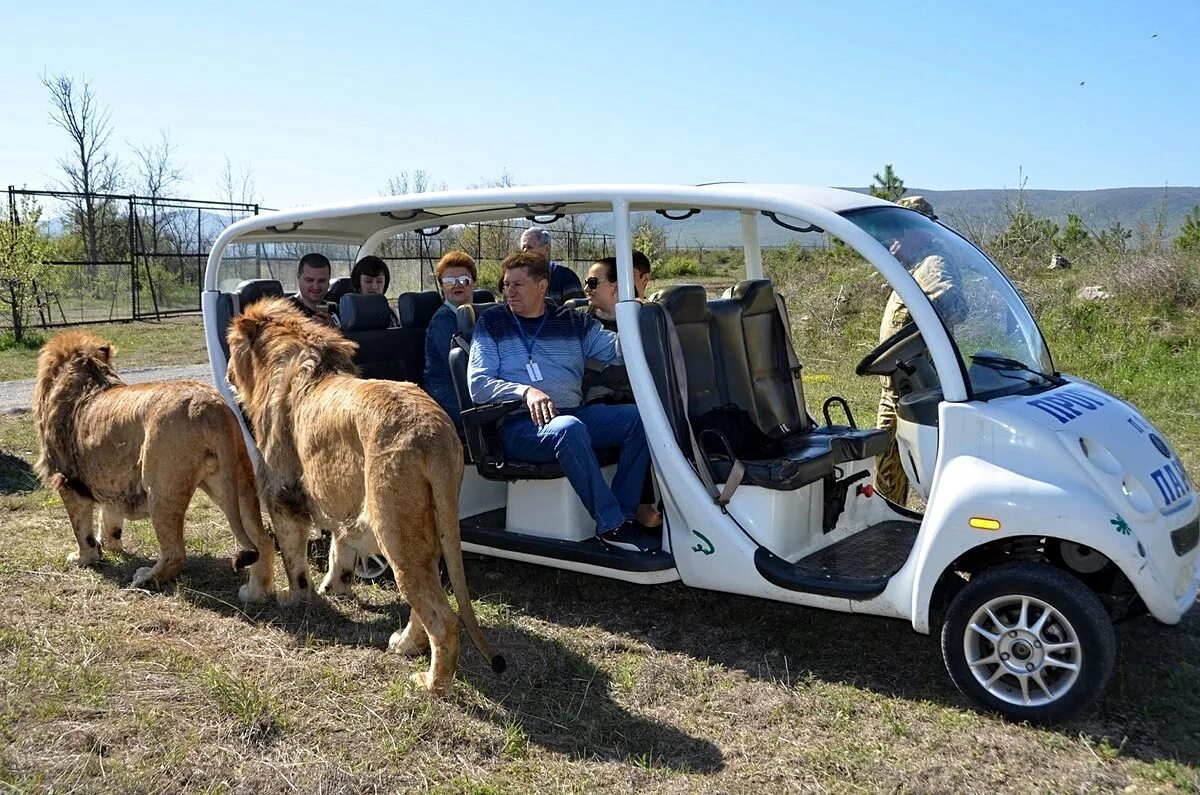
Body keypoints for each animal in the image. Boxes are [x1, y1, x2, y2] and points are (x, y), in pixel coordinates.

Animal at [36, 329, 274, 605]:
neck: (88, 374)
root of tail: (211, 407)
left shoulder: (68, 481)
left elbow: (81, 530)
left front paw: (84, 558)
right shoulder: (112, 482)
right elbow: (109, 518)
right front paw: (110, 546)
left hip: (160, 489)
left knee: (175, 553)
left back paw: (144, 579)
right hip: (234, 479)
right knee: (263, 542)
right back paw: (254, 593)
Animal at [224, 299, 501, 696]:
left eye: (231, 349)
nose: (228, 374)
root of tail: (434, 433)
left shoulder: (282, 494)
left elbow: (293, 557)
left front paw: (295, 597)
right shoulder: (342, 500)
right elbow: (341, 547)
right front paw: (335, 587)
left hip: (395, 531)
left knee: (444, 620)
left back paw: (431, 683)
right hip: (425, 527)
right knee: (427, 599)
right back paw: (405, 644)